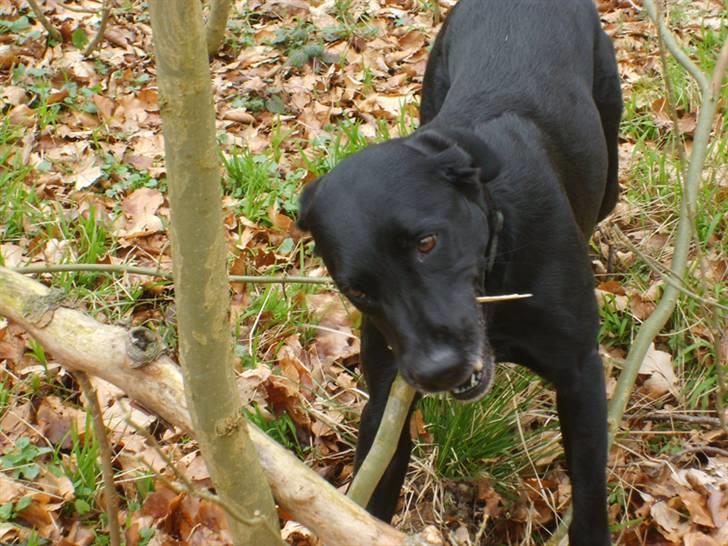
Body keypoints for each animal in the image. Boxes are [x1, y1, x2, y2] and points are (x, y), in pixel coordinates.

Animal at [296, 1, 620, 540]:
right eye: (356, 289)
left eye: (428, 243)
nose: (438, 369)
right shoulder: (386, 398)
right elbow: (372, 494)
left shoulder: (580, 374)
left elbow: (590, 489)